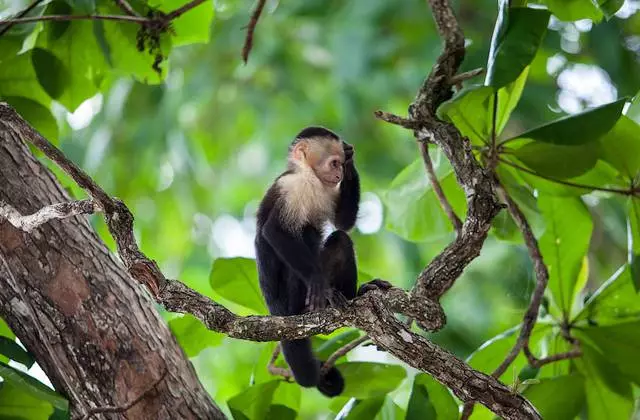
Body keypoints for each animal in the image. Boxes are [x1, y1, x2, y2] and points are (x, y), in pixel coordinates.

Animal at [255, 125, 390, 398]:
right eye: (333, 163)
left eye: (340, 164)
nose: (339, 173)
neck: (312, 179)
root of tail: (277, 312)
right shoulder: (293, 186)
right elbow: (274, 231)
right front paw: (318, 282)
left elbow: (343, 223)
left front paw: (352, 161)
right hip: (289, 301)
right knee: (304, 233)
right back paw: (316, 303)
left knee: (341, 239)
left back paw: (353, 295)